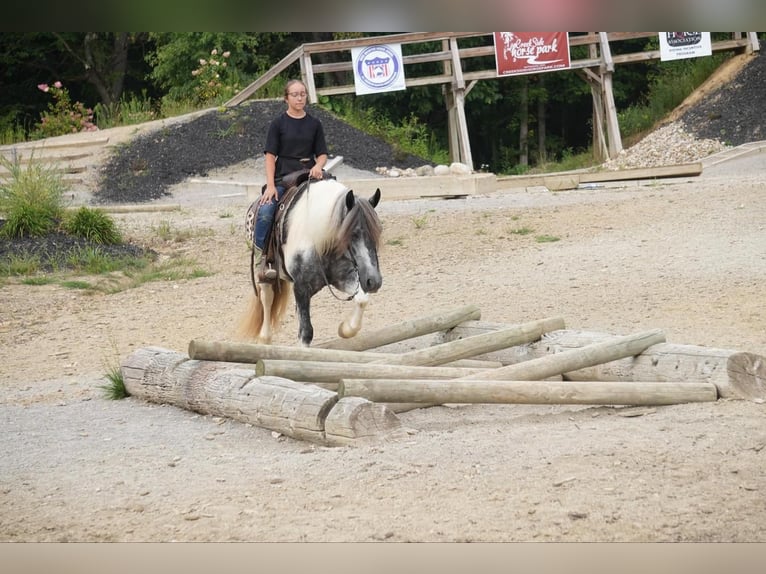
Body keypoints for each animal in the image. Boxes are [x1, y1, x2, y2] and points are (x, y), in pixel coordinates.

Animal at [237, 177, 384, 346]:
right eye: (352, 233)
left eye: (378, 231)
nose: (373, 281)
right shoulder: (301, 288)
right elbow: (306, 332)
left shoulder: (343, 277)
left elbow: (362, 299)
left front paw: (345, 329)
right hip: (266, 273)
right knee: (266, 298)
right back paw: (265, 338)